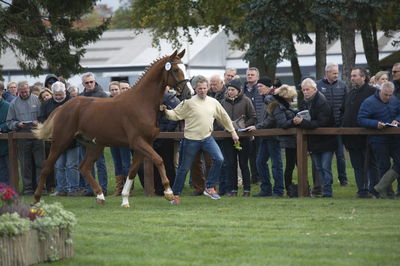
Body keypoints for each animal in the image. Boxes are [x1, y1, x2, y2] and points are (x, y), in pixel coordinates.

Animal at [32, 50, 192, 208]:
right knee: (47, 167)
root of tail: (62, 107)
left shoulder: (145, 144)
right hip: (61, 141)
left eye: (184, 68)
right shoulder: (138, 142)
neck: (142, 103)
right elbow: (158, 160)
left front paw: (125, 200)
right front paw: (169, 194)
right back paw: (36, 199)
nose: (189, 93)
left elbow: (132, 171)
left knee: (84, 167)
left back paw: (100, 196)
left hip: (94, 146)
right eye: (176, 70)